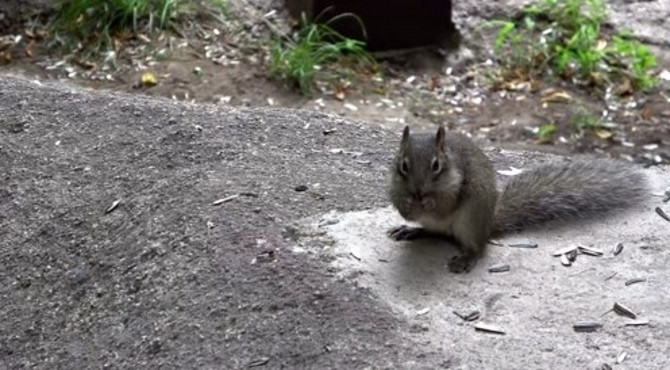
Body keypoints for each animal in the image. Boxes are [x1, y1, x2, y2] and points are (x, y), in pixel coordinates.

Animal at [388, 124, 652, 272]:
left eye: (436, 166)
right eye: (403, 165)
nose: (418, 191)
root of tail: (487, 226)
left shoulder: (457, 184)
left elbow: (445, 205)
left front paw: (429, 202)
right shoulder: (394, 187)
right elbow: (400, 204)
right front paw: (409, 206)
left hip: (470, 221)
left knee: (477, 247)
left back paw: (466, 257)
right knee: (436, 233)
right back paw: (412, 230)